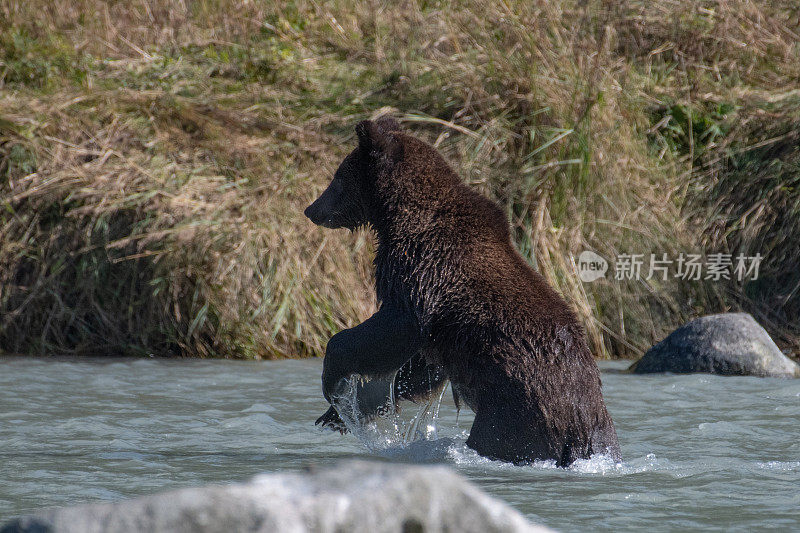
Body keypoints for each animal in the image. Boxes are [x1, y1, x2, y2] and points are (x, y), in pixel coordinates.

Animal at [304, 117, 620, 466]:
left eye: (338, 177)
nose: (311, 209)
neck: (399, 217)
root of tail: (583, 426)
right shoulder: (438, 325)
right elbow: (418, 366)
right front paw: (341, 412)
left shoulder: (424, 272)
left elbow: (393, 328)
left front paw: (333, 383)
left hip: (515, 411)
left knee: (497, 438)